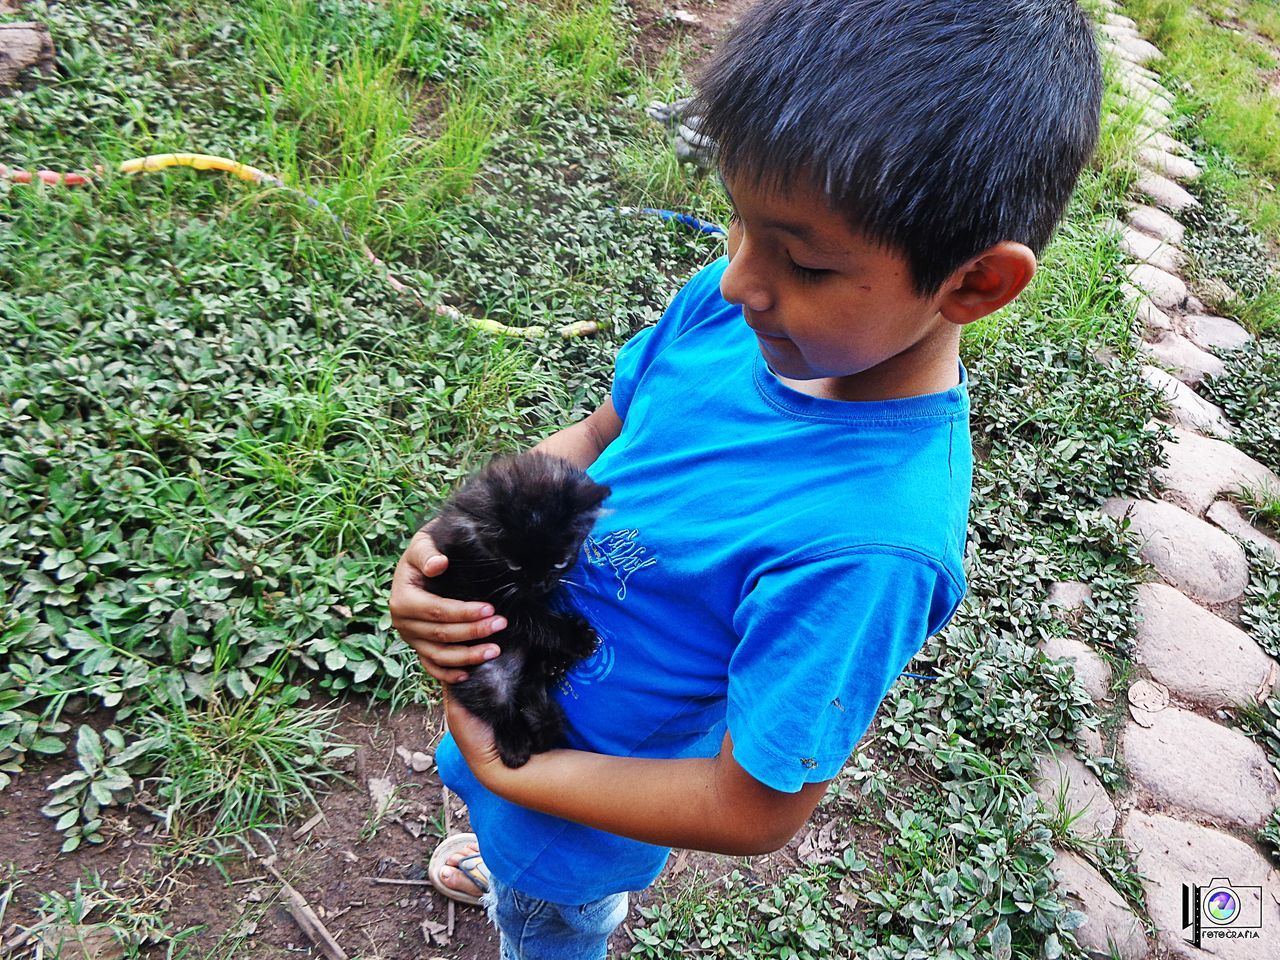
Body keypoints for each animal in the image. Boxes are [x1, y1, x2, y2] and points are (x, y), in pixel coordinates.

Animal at [422, 455, 611, 773]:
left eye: (560, 562)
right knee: (499, 704)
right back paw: (514, 744)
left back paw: (550, 666)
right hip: (483, 674)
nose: (539, 584)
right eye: (513, 565)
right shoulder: (481, 595)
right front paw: (574, 636)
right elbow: (527, 618)